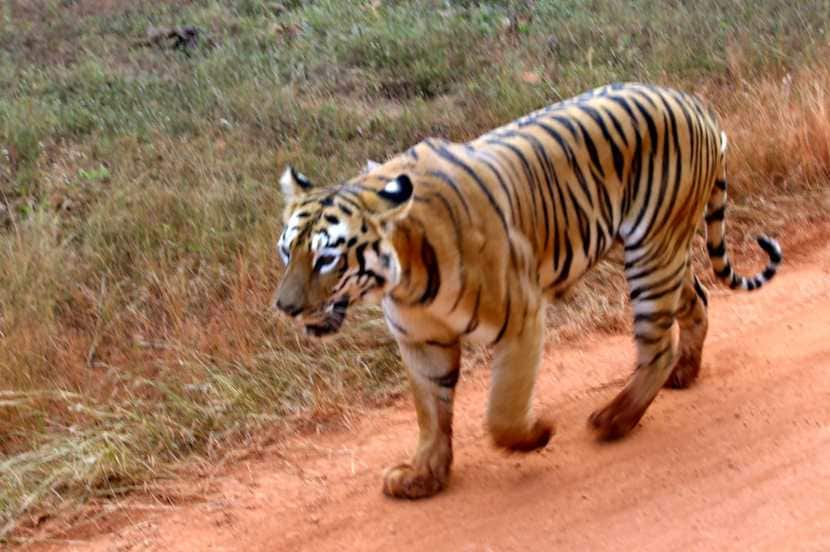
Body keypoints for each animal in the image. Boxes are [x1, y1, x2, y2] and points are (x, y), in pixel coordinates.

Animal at [274, 82, 788, 500]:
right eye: (286, 252)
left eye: (326, 258)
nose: (285, 307)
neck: (404, 279)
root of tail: (695, 103)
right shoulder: (421, 340)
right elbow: (431, 414)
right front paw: (423, 477)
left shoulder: (522, 318)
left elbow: (501, 412)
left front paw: (536, 433)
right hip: (665, 252)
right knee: (697, 298)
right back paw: (685, 372)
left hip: (652, 253)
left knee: (656, 346)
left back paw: (614, 421)